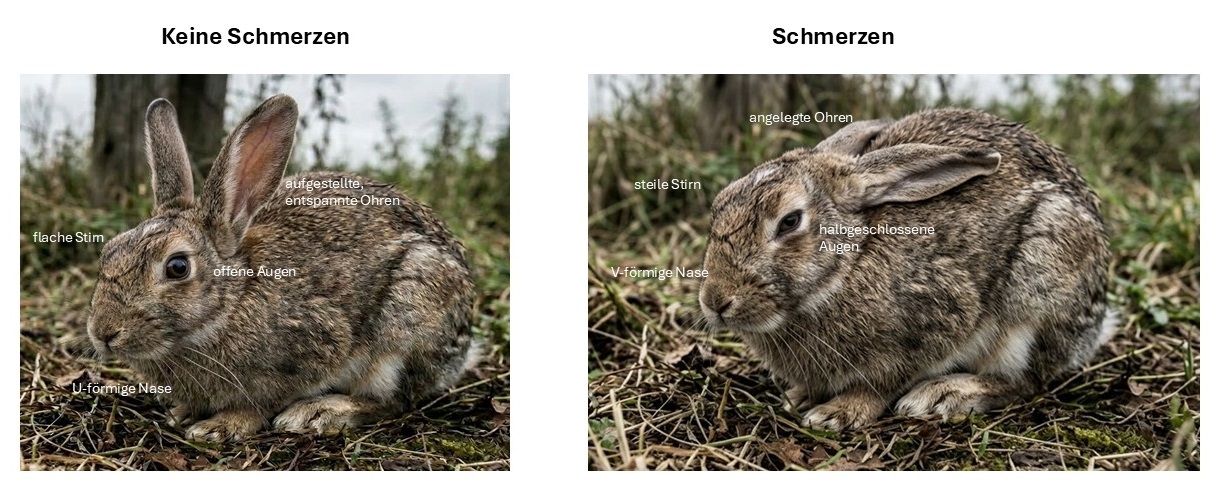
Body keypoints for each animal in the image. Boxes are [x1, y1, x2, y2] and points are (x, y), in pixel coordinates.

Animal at [86, 95, 478, 442]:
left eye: (177, 266)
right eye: (109, 250)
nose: (103, 332)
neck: (233, 301)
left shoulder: (314, 345)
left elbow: (261, 403)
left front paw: (221, 426)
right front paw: (182, 412)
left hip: (405, 324)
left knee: (395, 401)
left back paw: (319, 411)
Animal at [699, 108, 1115, 431]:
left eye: (790, 221)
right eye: (717, 205)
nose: (715, 301)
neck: (849, 262)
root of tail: (1093, 328)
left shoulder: (937, 322)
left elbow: (881, 384)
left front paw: (837, 413)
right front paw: (798, 396)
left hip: (1033, 295)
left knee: (1027, 381)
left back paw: (943, 394)